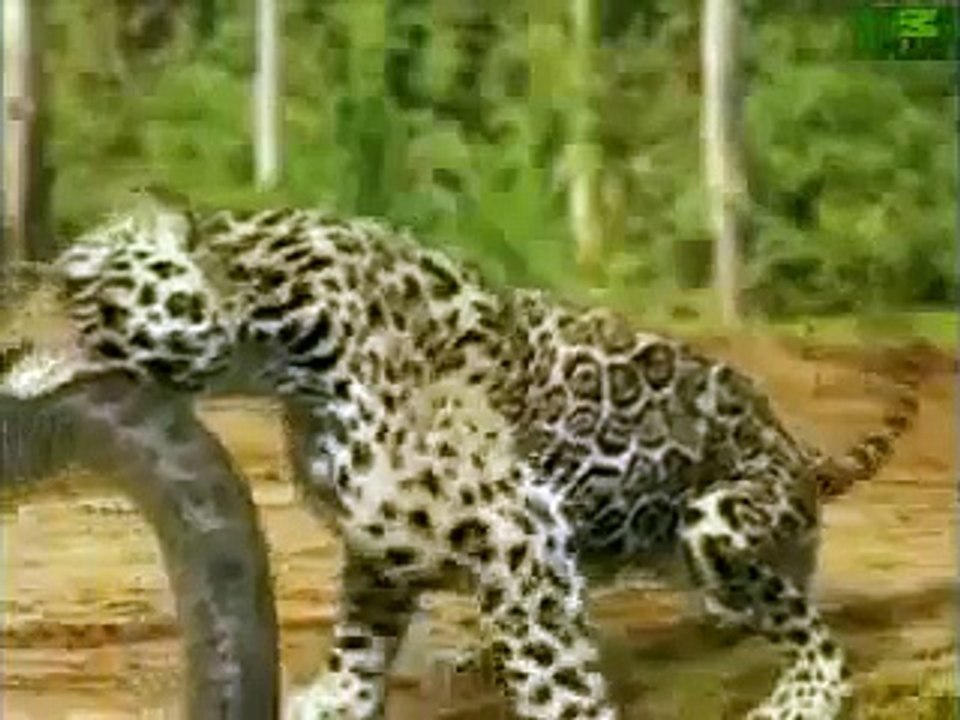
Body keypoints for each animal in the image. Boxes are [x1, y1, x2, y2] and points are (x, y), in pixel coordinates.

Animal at [30, 196, 918, 720]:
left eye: (77, 286)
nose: (10, 348)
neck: (284, 349)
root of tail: (790, 445)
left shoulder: (515, 528)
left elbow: (556, 673)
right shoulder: (383, 538)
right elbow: (361, 634)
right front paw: (337, 698)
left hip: (719, 517)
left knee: (812, 630)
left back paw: (801, 696)